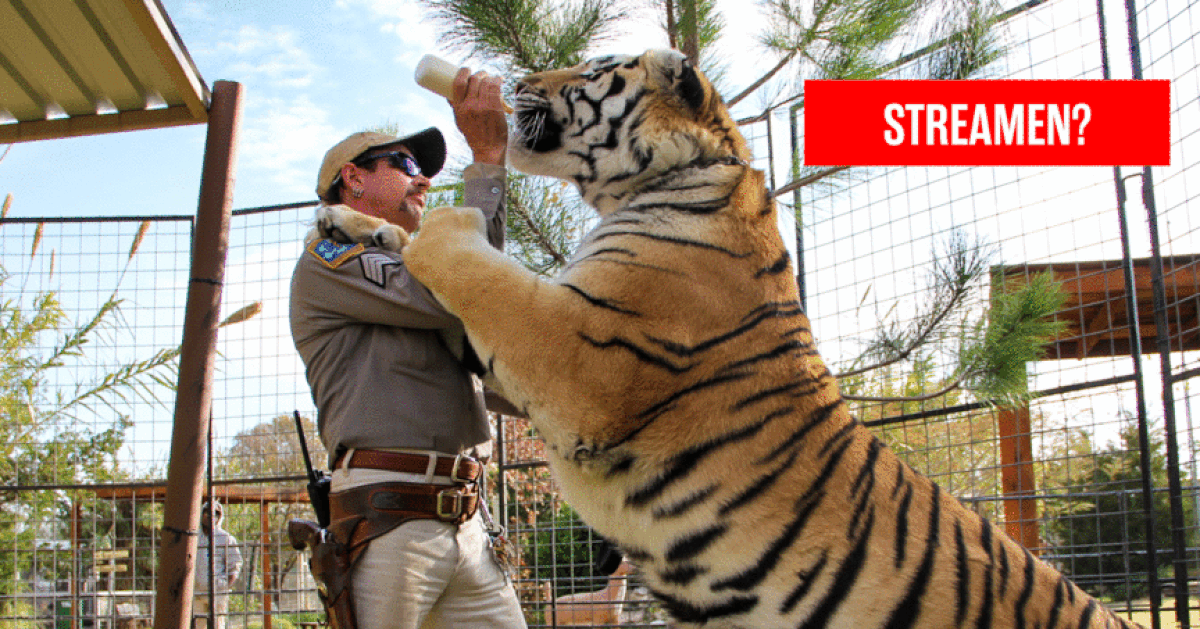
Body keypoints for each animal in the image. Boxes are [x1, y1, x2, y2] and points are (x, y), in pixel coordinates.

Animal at [322, 49, 1143, 629]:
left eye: (589, 70)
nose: (516, 80)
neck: (664, 178)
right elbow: (418, 253)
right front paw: (348, 221)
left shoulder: (581, 355)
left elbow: (474, 263)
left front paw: (438, 218)